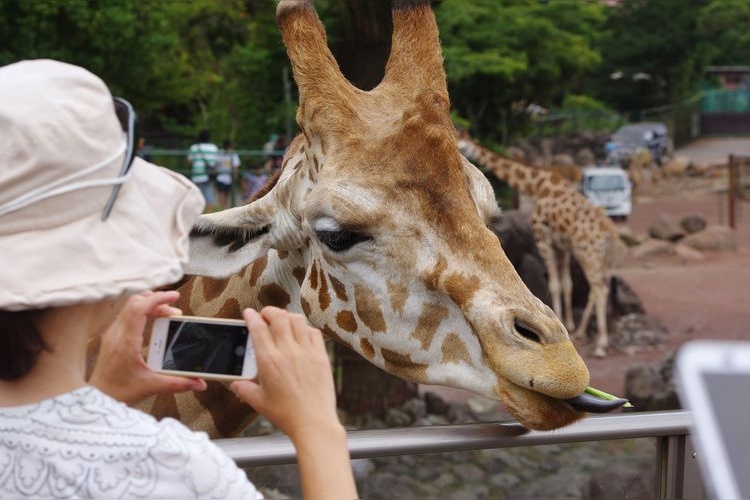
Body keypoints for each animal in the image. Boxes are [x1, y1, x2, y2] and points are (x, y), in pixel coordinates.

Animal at [462, 133, 620, 360]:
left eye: (463, 144)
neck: (535, 185)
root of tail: (612, 235)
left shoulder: (543, 238)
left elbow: (554, 285)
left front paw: (562, 327)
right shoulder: (562, 246)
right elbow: (566, 284)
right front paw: (569, 326)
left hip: (588, 253)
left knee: (600, 289)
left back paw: (601, 345)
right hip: (601, 259)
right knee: (597, 289)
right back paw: (584, 333)